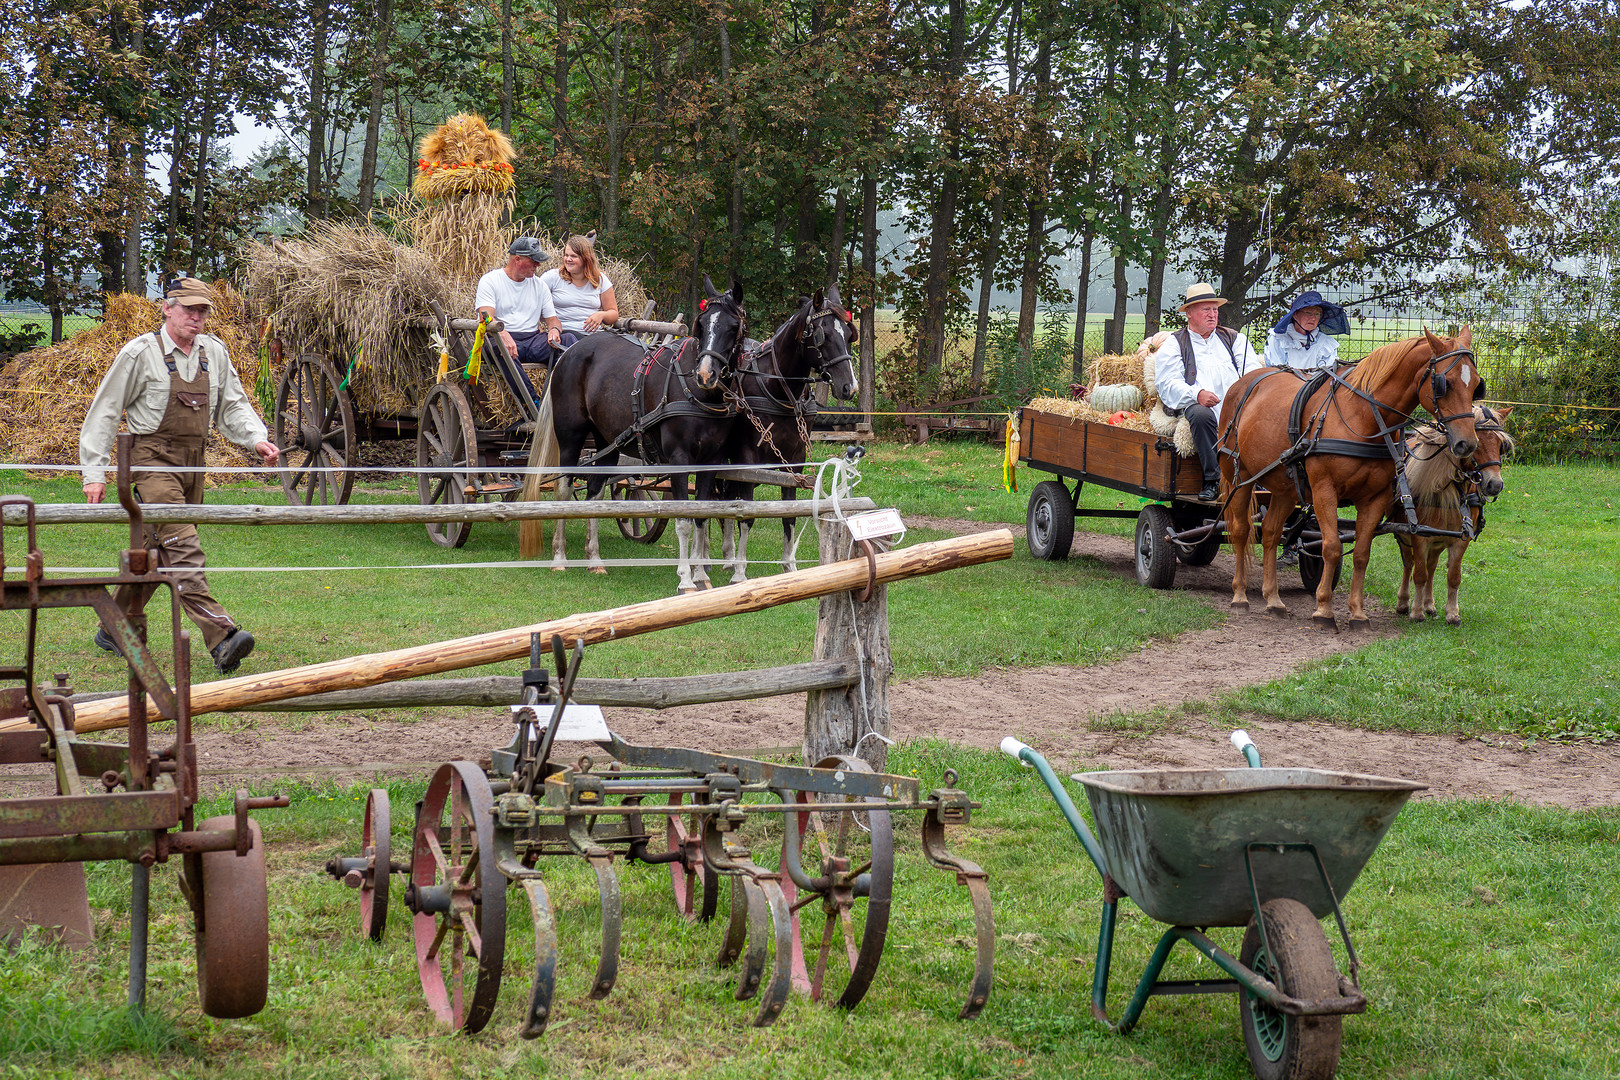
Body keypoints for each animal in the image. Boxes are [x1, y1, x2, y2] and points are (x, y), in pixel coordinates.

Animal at [544, 272, 745, 592]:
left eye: (733, 326)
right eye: (702, 324)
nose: (705, 374)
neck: (697, 394)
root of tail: (570, 352)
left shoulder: (712, 462)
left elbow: (701, 515)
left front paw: (702, 575)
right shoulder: (679, 460)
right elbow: (683, 520)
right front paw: (686, 579)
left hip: (607, 442)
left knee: (595, 492)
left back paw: (594, 560)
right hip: (570, 438)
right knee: (563, 489)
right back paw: (559, 558)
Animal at [722, 283, 861, 579]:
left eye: (848, 335)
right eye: (823, 336)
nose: (849, 387)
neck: (778, 388)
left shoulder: (795, 460)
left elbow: (789, 514)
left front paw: (790, 566)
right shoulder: (748, 458)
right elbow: (747, 514)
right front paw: (740, 571)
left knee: (726, 492)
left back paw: (726, 554)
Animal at [1218, 330, 1483, 634]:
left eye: (1476, 385)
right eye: (1444, 384)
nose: (1467, 444)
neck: (1364, 416)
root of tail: (1243, 382)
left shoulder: (1375, 498)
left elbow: (1361, 554)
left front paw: (1357, 612)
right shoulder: (1324, 490)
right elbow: (1332, 547)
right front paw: (1323, 609)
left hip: (1286, 487)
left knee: (1272, 532)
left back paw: (1273, 599)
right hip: (1239, 477)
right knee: (1241, 530)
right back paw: (1239, 596)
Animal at [1399, 404, 1509, 625]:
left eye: (1501, 445)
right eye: (1476, 444)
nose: (1495, 484)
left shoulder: (1460, 538)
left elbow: (1453, 576)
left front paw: (1452, 613)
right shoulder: (1419, 536)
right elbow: (1419, 574)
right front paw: (1416, 611)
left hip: (1439, 539)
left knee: (1432, 566)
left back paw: (1429, 604)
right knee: (1409, 564)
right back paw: (1405, 602)